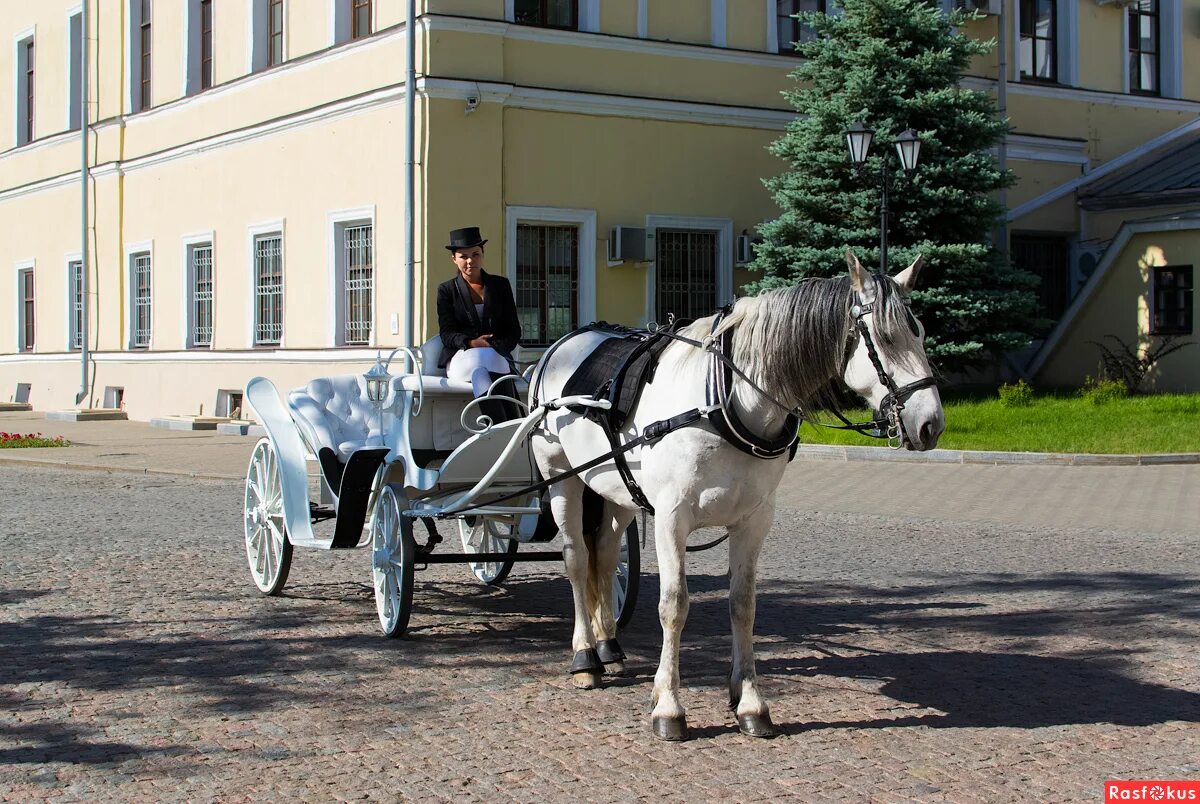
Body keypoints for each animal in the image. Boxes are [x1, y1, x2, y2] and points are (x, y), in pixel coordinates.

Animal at [530, 252, 940, 744]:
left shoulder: (753, 520)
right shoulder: (670, 519)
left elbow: (743, 605)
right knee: (576, 561)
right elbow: (674, 605)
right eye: (884, 336)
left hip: (616, 490)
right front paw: (668, 706)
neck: (723, 399)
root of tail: (565, 341)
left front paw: (749, 701)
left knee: (606, 556)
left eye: (920, 332)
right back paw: (586, 657)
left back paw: (609, 644)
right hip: (562, 479)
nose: (931, 423)